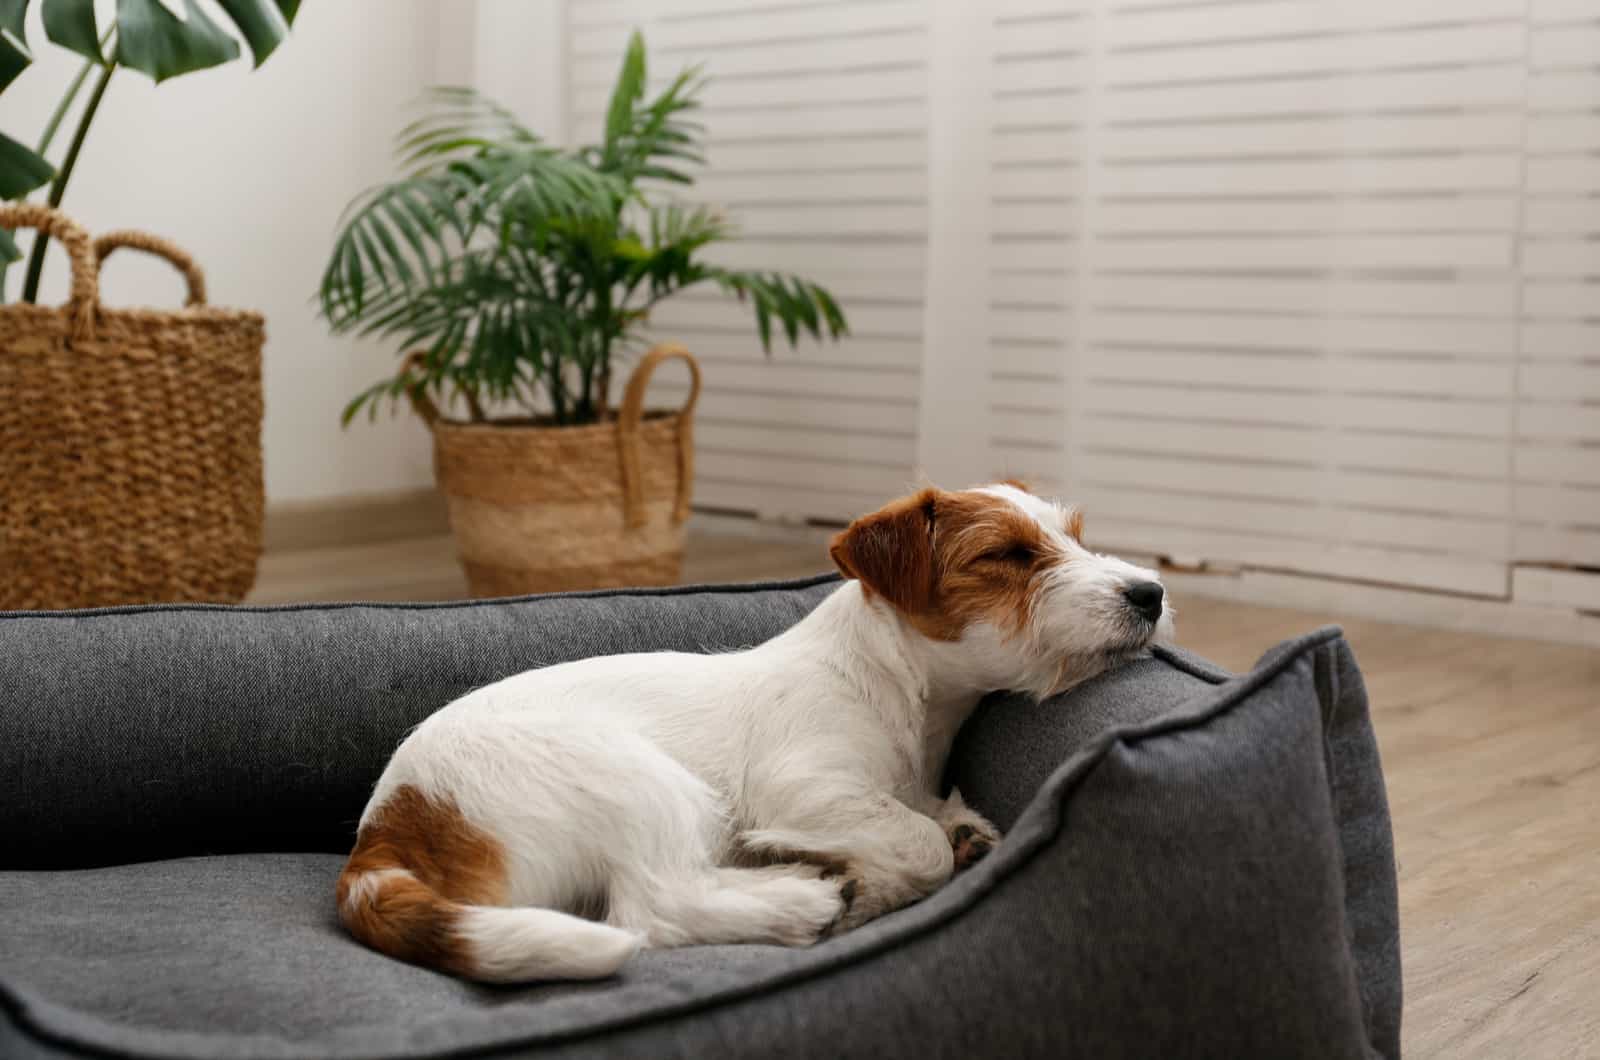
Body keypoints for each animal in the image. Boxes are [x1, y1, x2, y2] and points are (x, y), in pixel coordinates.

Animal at [340, 486, 1177, 986]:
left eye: (1075, 538)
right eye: (1007, 555)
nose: (1151, 592)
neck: (893, 685)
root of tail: (389, 823)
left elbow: (934, 820)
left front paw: (946, 830)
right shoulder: (805, 782)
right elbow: (919, 845)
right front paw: (874, 877)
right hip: (641, 780)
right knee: (655, 907)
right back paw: (803, 897)